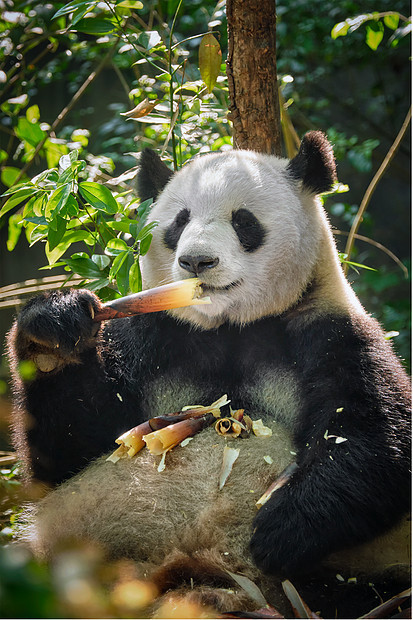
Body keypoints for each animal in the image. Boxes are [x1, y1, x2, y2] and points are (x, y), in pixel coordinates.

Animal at [6, 131, 408, 616]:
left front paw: (279, 530)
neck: (229, 327)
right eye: (179, 222)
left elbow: (375, 439)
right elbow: (66, 454)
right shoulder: (151, 338)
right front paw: (54, 331)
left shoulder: (328, 330)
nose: (197, 262)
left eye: (244, 221)